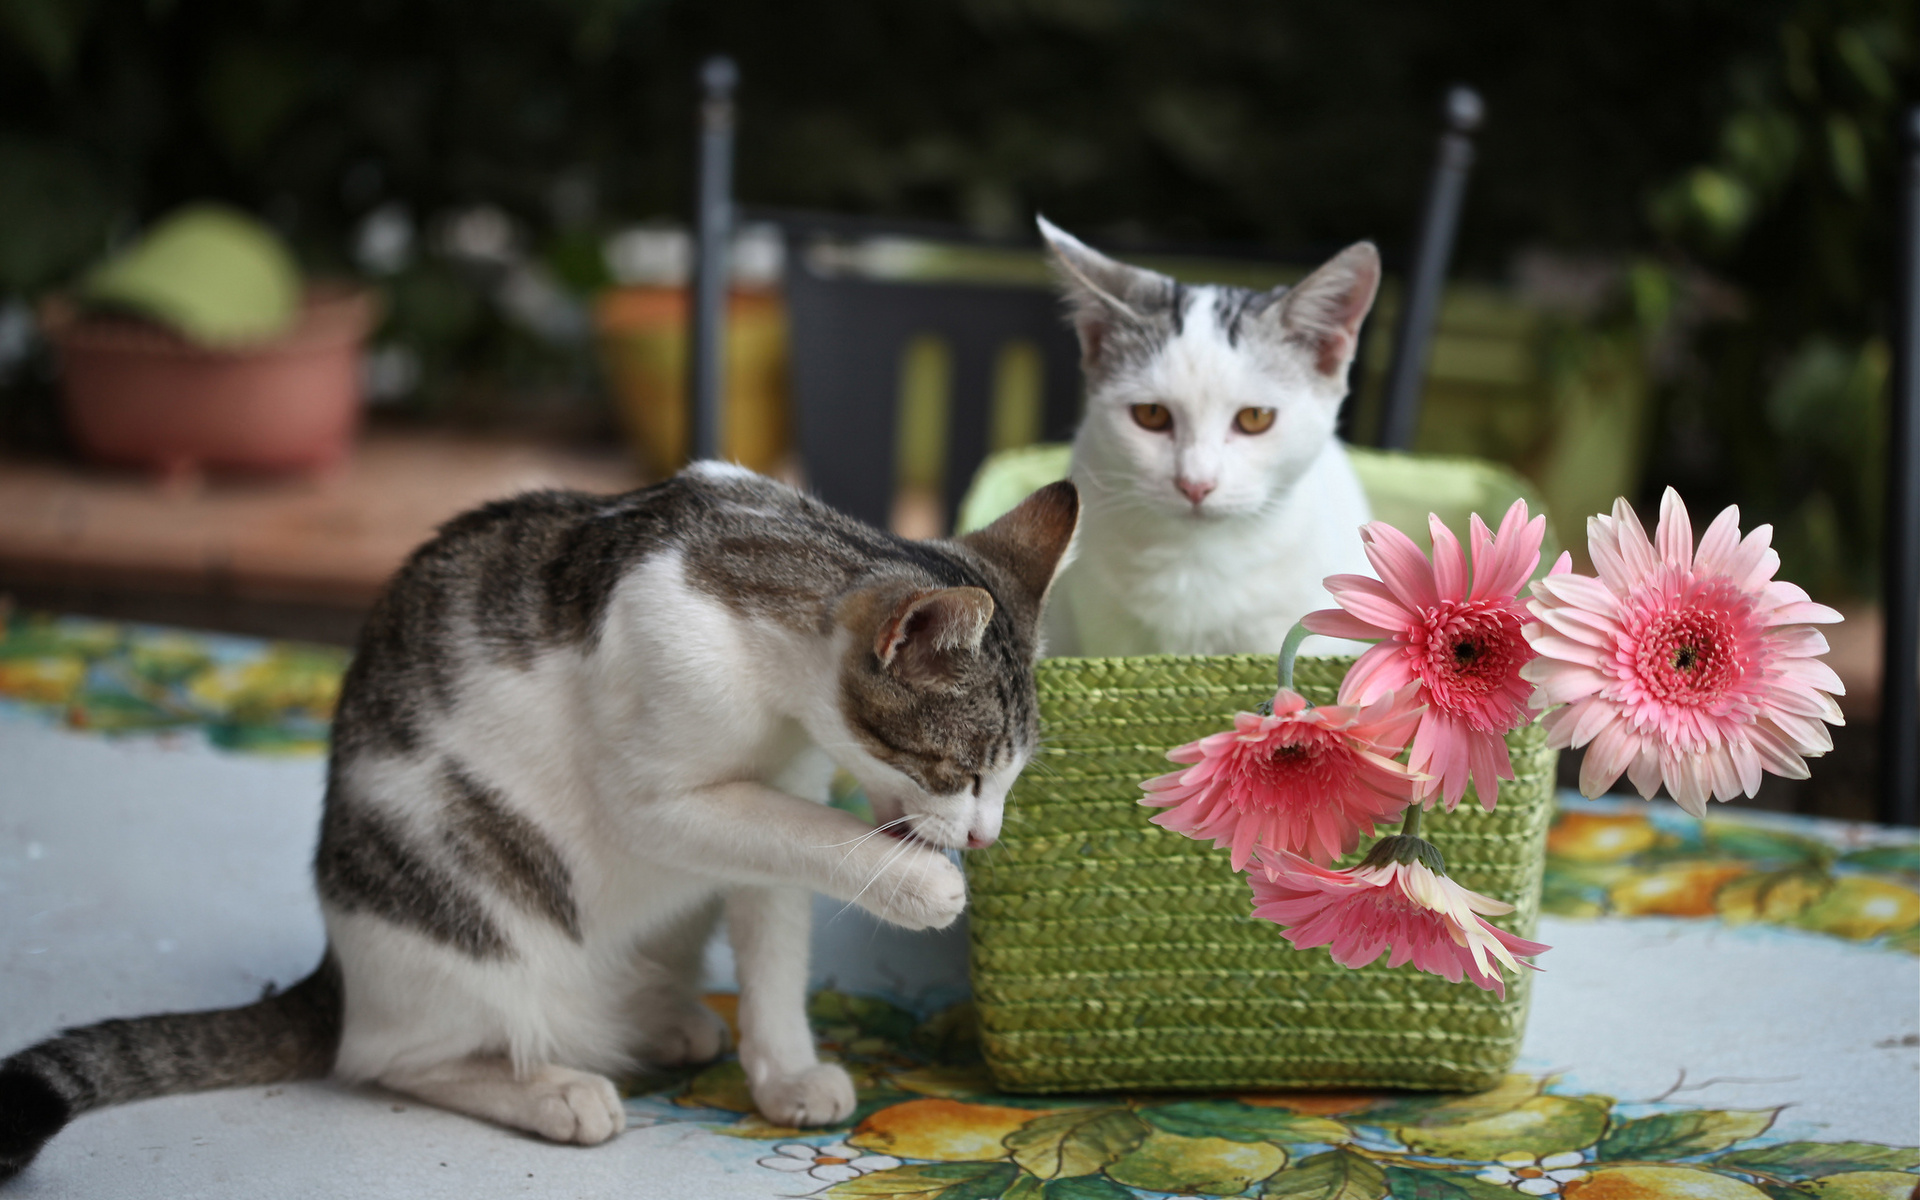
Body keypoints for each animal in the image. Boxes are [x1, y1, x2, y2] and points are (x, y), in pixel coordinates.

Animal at [0, 466, 1082, 1167]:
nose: (984, 837)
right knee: (386, 1057)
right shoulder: (658, 798)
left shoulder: (786, 795)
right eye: (958, 770)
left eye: (1011, 779)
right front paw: (923, 886)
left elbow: (777, 931)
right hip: (463, 920)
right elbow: (808, 840)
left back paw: (665, 1019)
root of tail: (340, 972)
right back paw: (553, 1088)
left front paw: (783, 1073)